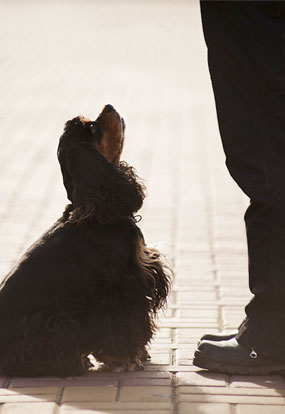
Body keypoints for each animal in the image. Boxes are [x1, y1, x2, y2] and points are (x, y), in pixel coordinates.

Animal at [0, 104, 170, 376]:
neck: (100, 212)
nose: (109, 106)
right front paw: (125, 359)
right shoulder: (118, 286)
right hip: (48, 323)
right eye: (92, 126)